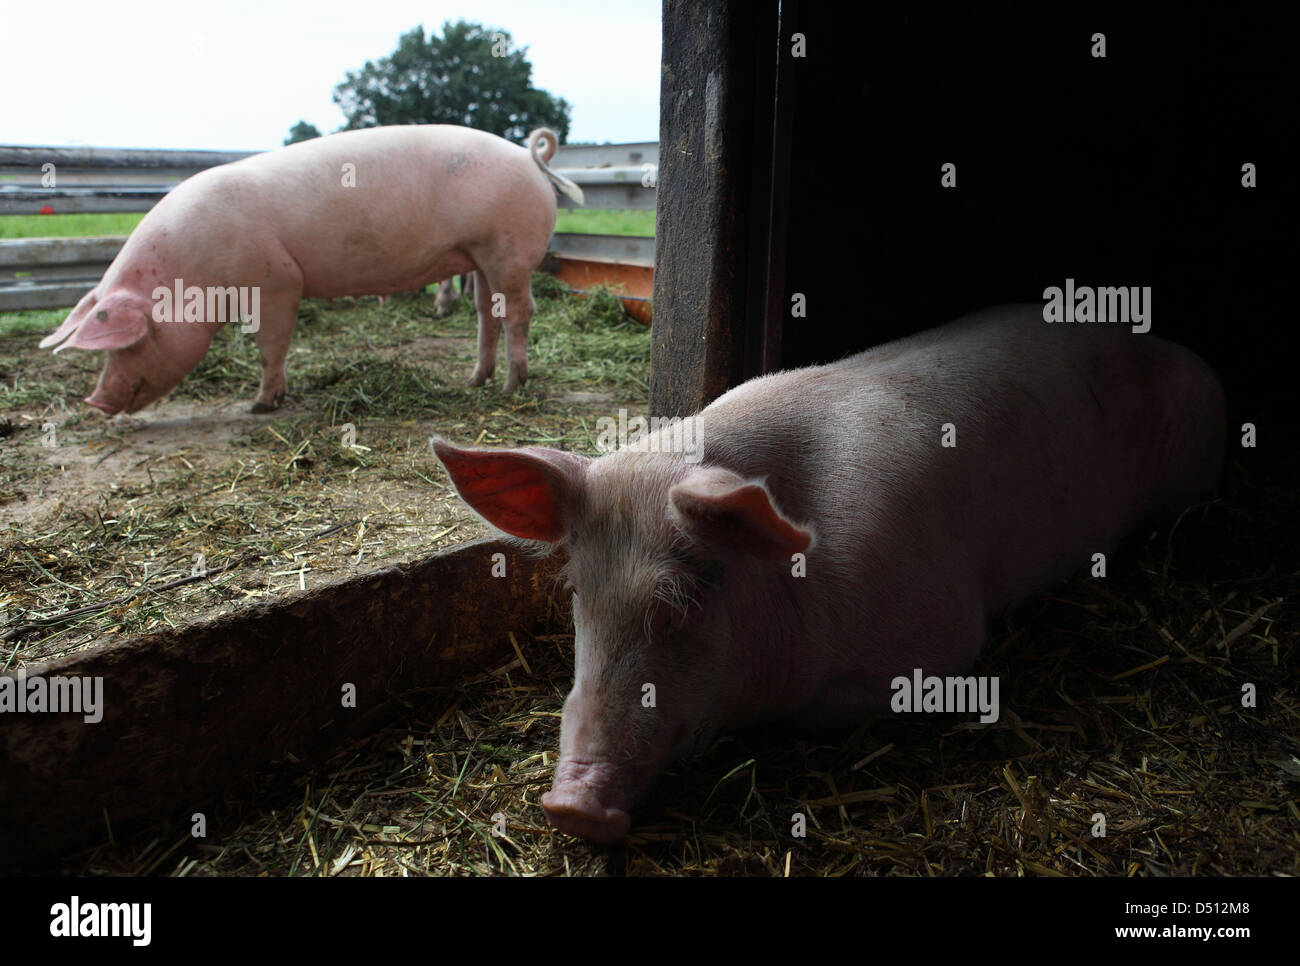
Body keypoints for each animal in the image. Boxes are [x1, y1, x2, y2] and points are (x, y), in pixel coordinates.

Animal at [40, 124, 582, 410]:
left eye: (131, 343)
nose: (95, 402)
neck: (191, 275)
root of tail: (531, 161)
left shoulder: (278, 280)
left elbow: (270, 346)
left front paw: (260, 405)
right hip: (479, 253)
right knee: (486, 312)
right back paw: (473, 381)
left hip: (509, 248)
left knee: (520, 312)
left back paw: (512, 387)